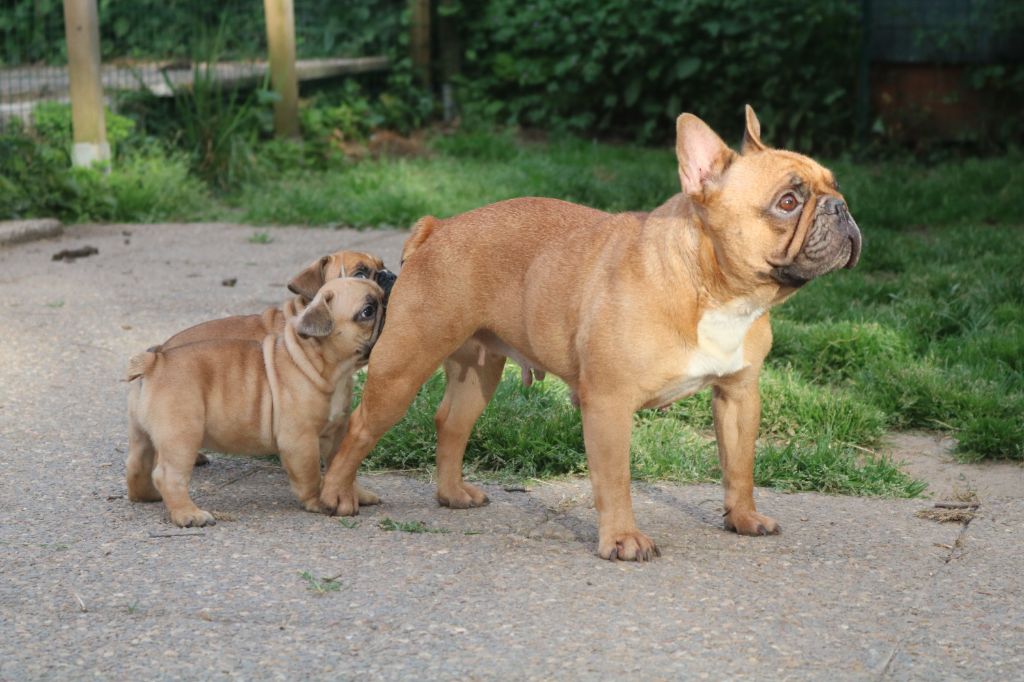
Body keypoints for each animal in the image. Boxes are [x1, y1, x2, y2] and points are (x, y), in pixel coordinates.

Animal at [125, 276, 385, 524]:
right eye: (368, 311)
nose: (388, 303)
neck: (321, 364)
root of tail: (156, 361)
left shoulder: (336, 434)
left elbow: (342, 466)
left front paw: (354, 494)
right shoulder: (300, 440)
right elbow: (310, 474)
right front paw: (318, 501)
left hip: (143, 433)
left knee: (138, 465)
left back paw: (150, 496)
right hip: (182, 436)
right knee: (167, 475)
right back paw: (187, 514)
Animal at [317, 109, 856, 561]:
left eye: (835, 186)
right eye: (788, 202)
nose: (842, 209)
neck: (714, 289)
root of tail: (436, 227)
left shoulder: (739, 395)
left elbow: (739, 466)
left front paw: (742, 518)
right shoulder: (609, 403)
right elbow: (615, 478)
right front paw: (622, 539)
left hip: (479, 370)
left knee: (452, 422)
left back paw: (452, 494)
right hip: (404, 366)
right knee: (360, 427)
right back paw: (335, 495)